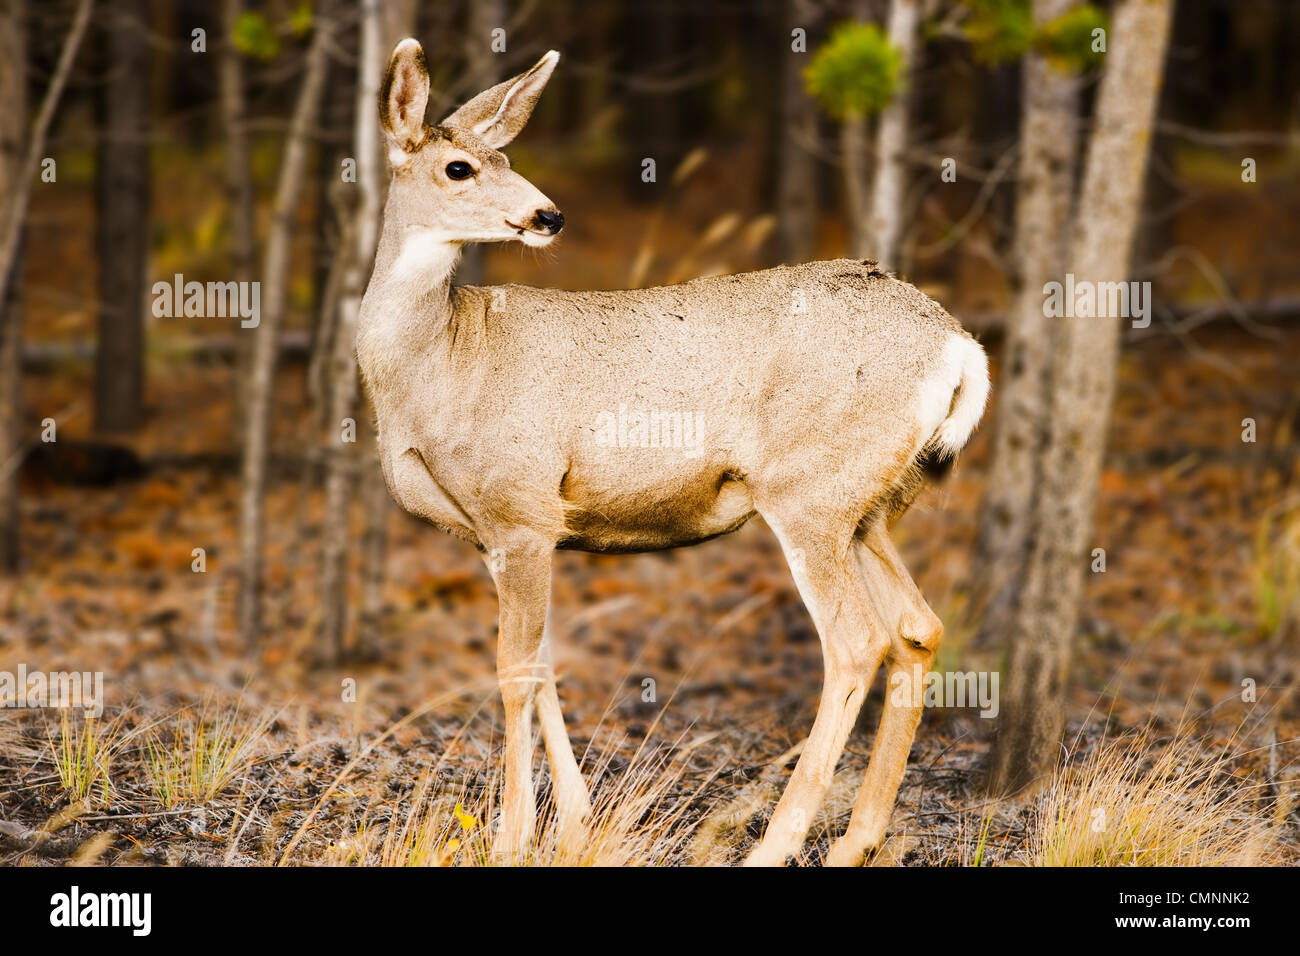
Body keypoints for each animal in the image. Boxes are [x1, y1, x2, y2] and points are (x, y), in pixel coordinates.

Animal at [357, 39, 989, 867]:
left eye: (503, 158)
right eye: (459, 167)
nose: (548, 214)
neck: (444, 360)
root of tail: (958, 345)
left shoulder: (522, 511)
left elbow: (514, 671)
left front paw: (514, 835)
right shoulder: (509, 534)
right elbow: (548, 664)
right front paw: (577, 823)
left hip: (810, 493)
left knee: (857, 642)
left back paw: (774, 846)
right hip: (874, 504)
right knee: (918, 629)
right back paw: (856, 841)